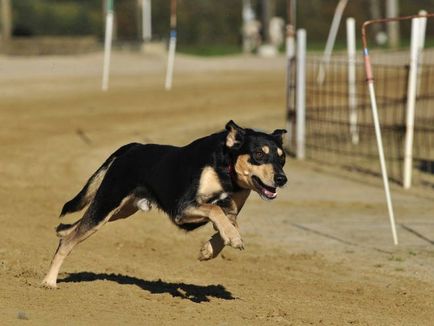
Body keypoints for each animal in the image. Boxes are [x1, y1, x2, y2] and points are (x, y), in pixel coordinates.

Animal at [42, 121, 286, 288]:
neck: (226, 171)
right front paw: (233, 239)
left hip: (119, 210)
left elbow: (227, 223)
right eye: (258, 154)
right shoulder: (182, 208)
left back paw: (60, 233)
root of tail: (134, 147)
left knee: (70, 230)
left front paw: (209, 249)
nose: (282, 179)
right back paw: (49, 281)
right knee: (68, 242)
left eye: (282, 158)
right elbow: (215, 210)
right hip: (107, 204)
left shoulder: (231, 211)